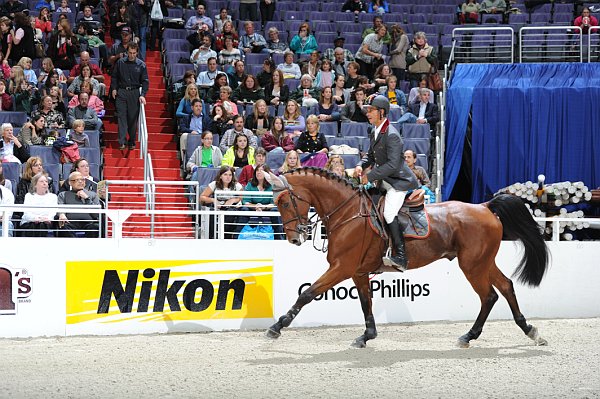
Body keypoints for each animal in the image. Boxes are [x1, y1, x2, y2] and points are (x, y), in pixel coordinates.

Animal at [266, 167, 548, 348]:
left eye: (285, 202)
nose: (294, 238)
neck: (348, 211)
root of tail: (485, 207)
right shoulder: (358, 271)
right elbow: (365, 303)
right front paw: (367, 336)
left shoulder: (342, 267)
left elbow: (307, 294)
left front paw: (277, 327)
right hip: (483, 262)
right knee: (506, 286)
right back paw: (529, 331)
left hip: (472, 265)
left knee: (489, 295)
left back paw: (470, 336)